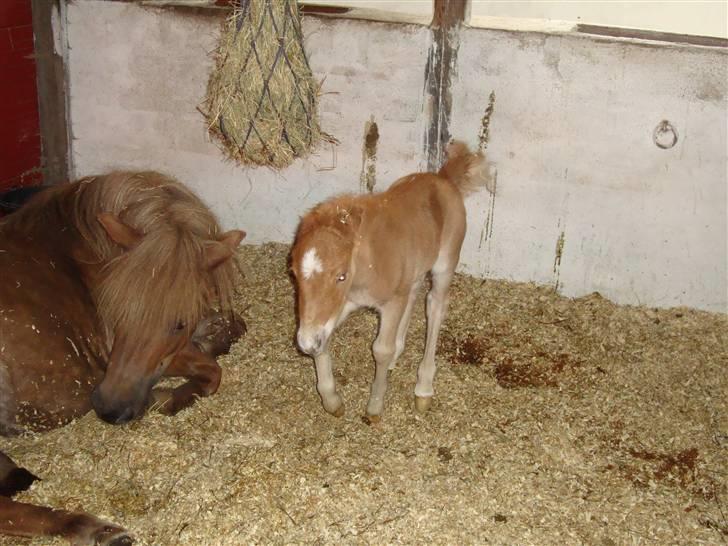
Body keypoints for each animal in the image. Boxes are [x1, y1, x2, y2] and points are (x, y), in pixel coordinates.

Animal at [0, 170, 246, 540]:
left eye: (178, 322)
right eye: (116, 307)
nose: (110, 407)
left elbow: (230, 328)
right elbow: (212, 371)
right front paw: (166, 399)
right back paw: (91, 527)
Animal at [292, 141, 492, 420]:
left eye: (341, 276)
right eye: (293, 273)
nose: (305, 343)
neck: (365, 269)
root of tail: (443, 179)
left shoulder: (388, 303)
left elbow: (380, 349)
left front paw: (374, 406)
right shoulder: (340, 306)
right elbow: (326, 337)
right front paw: (332, 401)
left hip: (445, 264)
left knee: (435, 306)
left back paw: (423, 388)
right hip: (414, 271)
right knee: (414, 293)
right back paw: (398, 354)